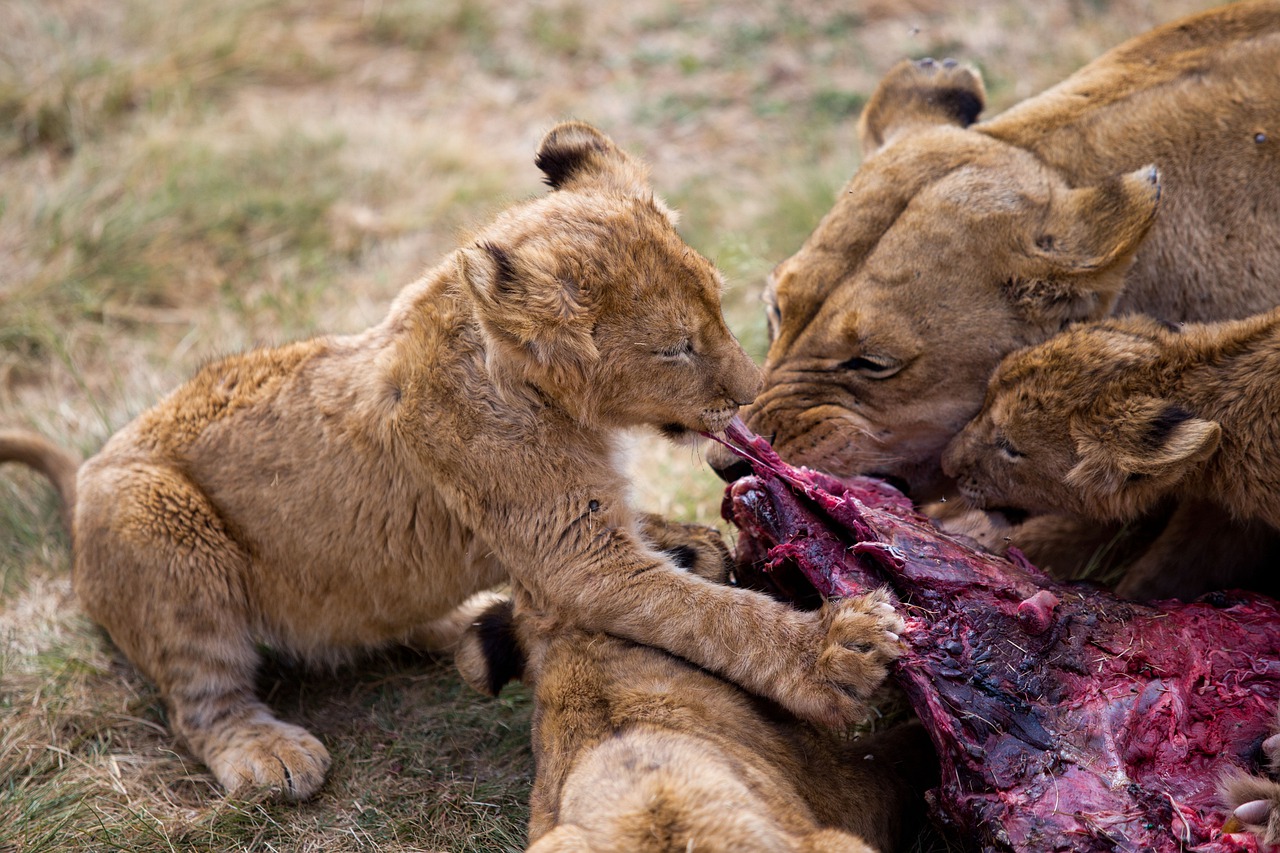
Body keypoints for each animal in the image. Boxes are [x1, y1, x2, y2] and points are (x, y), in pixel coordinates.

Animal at [0, 122, 903, 800]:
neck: (557, 404)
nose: (748, 398)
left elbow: (656, 540)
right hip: (157, 520)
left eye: (718, 299)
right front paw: (836, 650)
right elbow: (712, 617)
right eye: (677, 347)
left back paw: (467, 624)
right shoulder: (579, 557)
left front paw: (699, 541)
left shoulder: (576, 526)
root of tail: (83, 475)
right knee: (199, 697)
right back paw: (268, 752)